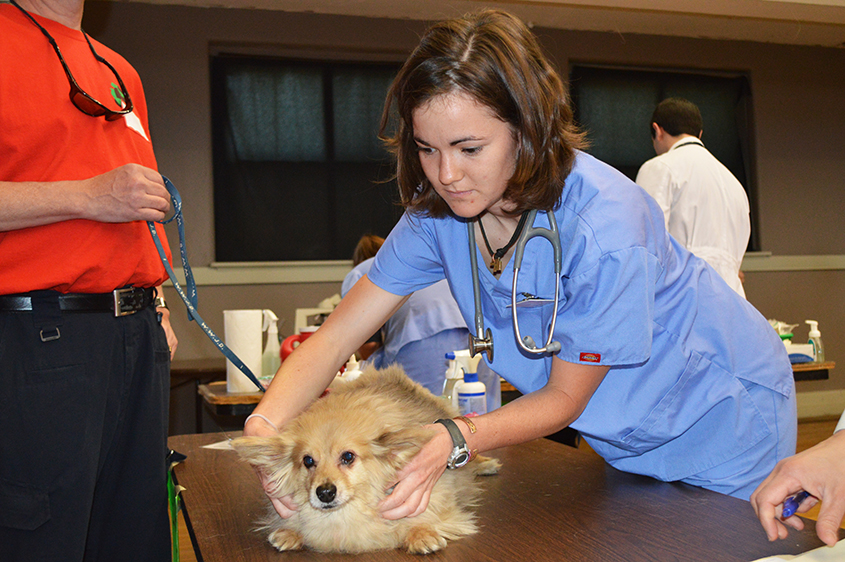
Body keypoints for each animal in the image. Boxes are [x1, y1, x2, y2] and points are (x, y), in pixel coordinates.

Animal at [231, 364, 498, 552]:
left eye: (348, 457)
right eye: (307, 461)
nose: (324, 493)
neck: (345, 516)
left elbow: (426, 518)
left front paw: (422, 533)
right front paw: (290, 532)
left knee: (471, 459)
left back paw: (487, 464)